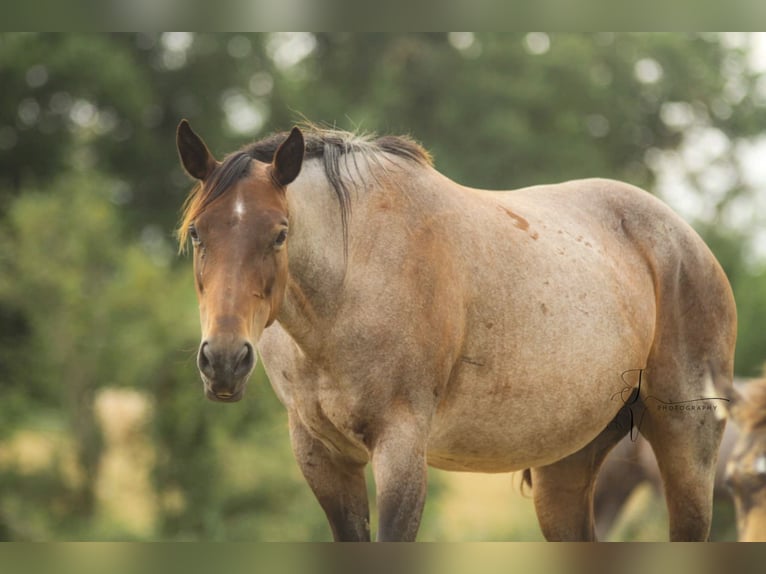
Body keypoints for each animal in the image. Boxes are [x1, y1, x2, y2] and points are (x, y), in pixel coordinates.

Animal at [174, 119, 737, 541]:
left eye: (280, 234)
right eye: (199, 233)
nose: (224, 360)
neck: (353, 281)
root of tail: (687, 241)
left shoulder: (401, 449)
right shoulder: (321, 455)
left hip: (686, 448)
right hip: (567, 466)